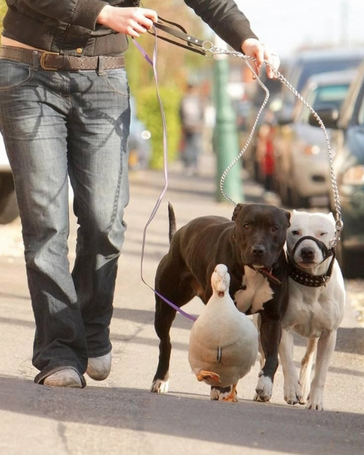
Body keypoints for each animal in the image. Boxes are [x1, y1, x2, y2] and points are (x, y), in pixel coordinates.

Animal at [150, 204, 290, 402]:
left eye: (274, 228)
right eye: (247, 225)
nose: (258, 250)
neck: (254, 271)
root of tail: (178, 235)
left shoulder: (272, 319)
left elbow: (272, 357)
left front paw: (265, 386)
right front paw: (221, 388)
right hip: (165, 308)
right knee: (166, 343)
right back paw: (161, 379)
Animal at [280, 212, 346, 412]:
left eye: (322, 233)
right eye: (295, 232)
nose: (307, 251)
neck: (310, 281)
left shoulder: (329, 334)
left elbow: (321, 372)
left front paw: (315, 401)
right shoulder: (283, 327)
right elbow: (287, 361)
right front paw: (292, 390)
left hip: (314, 335)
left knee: (307, 358)